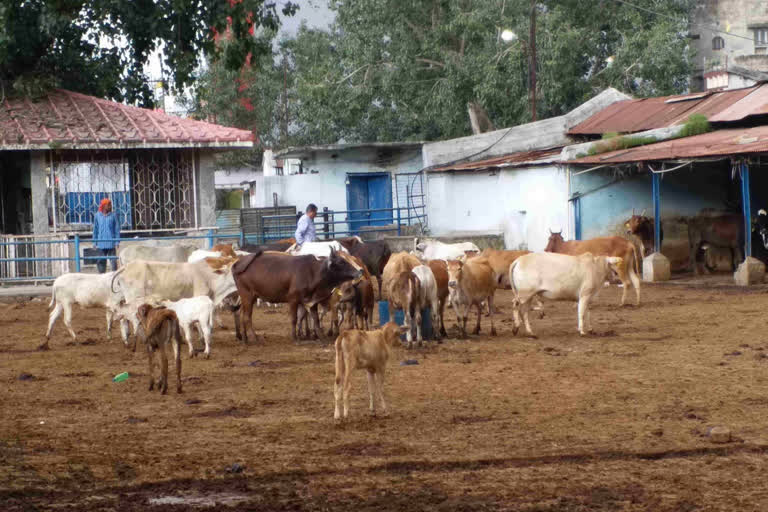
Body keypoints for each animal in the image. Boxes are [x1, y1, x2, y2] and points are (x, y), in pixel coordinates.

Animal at [232, 249, 362, 342]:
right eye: (341, 262)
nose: (359, 271)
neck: (313, 272)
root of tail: (239, 262)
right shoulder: (293, 299)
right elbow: (294, 319)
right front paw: (295, 337)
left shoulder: (311, 300)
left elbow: (315, 319)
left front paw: (321, 337)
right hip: (247, 296)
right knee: (247, 317)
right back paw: (255, 338)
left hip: (249, 298)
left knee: (241, 314)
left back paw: (245, 338)